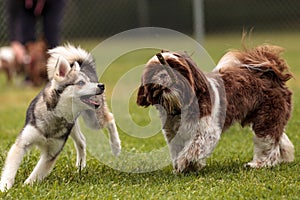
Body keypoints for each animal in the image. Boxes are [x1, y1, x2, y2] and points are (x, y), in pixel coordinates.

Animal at [0, 44, 122, 191]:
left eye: (89, 82)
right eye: (81, 83)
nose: (101, 86)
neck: (56, 116)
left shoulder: (52, 153)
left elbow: (37, 173)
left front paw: (27, 186)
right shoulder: (22, 143)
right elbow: (11, 169)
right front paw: (5, 187)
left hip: (93, 120)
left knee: (110, 119)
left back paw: (116, 146)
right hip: (74, 126)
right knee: (82, 141)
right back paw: (80, 166)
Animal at [137, 45, 296, 172]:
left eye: (176, 67)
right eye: (154, 71)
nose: (164, 74)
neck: (179, 106)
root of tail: (271, 72)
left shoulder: (206, 132)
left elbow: (192, 150)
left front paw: (185, 164)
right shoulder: (173, 135)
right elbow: (178, 151)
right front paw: (181, 167)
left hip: (267, 117)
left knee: (268, 142)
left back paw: (261, 164)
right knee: (279, 138)